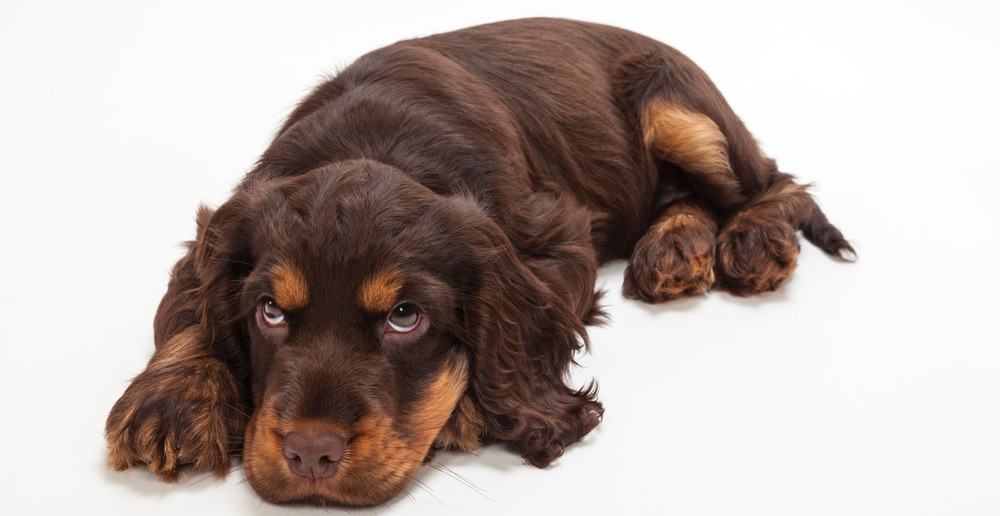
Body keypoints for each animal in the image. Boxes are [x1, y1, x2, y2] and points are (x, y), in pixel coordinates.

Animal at [105, 18, 852, 506]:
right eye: (269, 311)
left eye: (405, 317)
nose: (310, 454)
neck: (374, 141)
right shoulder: (219, 230)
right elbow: (192, 307)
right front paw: (172, 401)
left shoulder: (555, 236)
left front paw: (467, 409)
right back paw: (678, 246)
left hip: (681, 111)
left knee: (774, 184)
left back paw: (748, 243)